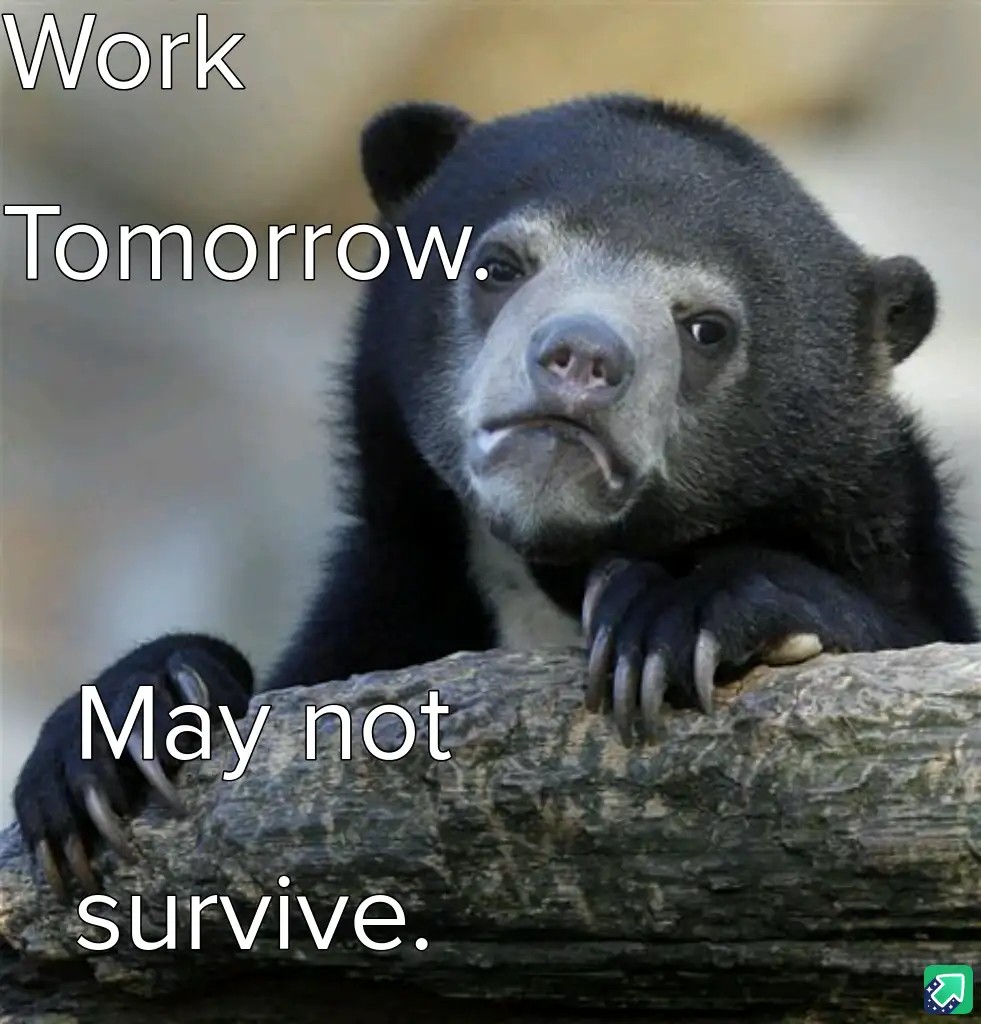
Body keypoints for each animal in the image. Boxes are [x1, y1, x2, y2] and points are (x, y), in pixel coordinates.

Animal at [13, 93, 979, 897]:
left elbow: (899, 625)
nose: (581, 359)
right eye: (497, 267)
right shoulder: (395, 593)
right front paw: (115, 740)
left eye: (706, 328)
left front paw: (672, 616)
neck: (546, 571)